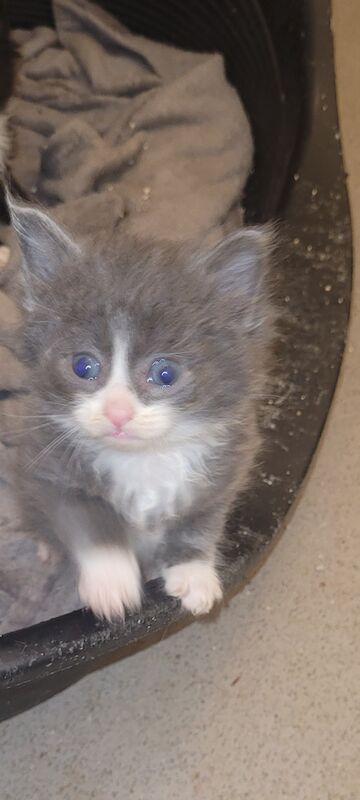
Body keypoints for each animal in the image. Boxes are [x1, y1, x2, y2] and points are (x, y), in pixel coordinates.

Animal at [7, 198, 272, 620]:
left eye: (165, 373)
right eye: (83, 366)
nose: (118, 413)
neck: (144, 460)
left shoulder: (227, 470)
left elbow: (201, 519)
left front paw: (193, 572)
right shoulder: (50, 467)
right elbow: (88, 517)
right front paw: (112, 582)